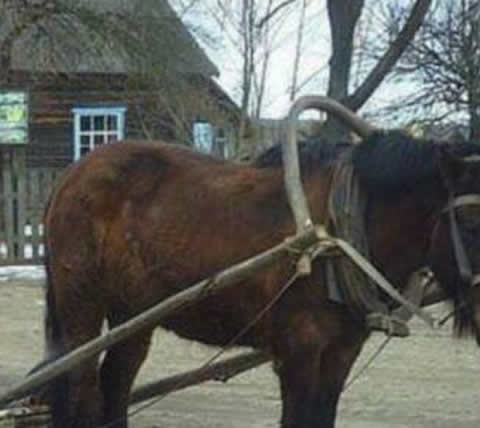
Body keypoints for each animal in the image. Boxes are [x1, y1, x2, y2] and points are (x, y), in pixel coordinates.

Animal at [44, 100, 480, 428]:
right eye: (468, 219)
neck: (336, 233)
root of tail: (71, 175)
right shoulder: (299, 351)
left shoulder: (341, 352)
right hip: (81, 306)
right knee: (82, 389)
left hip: (134, 314)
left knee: (116, 383)